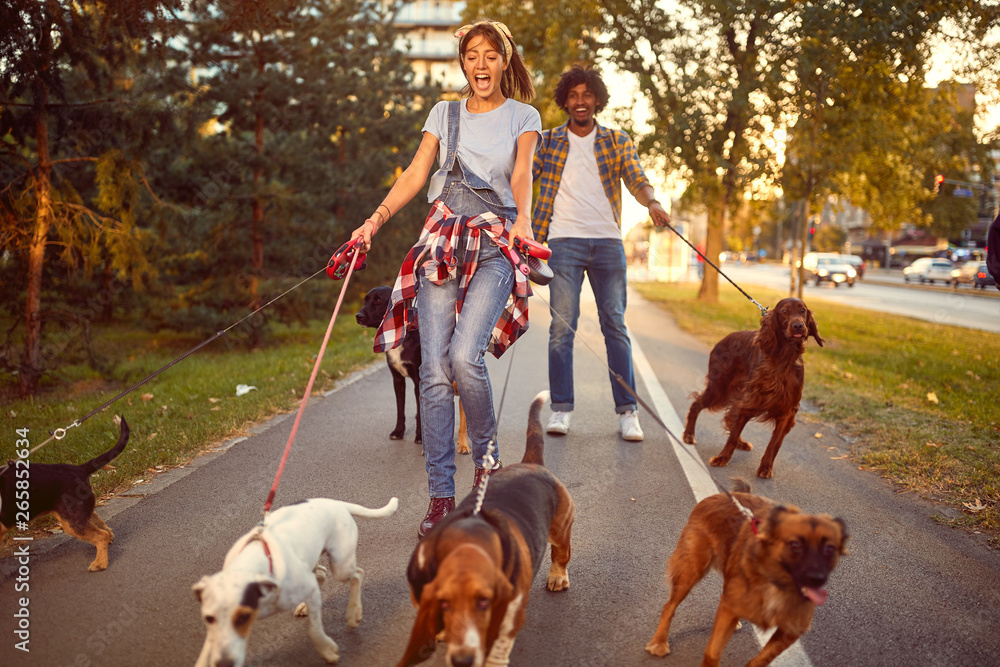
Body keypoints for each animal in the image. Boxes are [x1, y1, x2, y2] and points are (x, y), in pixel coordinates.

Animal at [360, 288, 468, 454]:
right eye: (365, 300)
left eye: (378, 300)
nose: (358, 316)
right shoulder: (397, 380)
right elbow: (401, 410)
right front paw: (398, 432)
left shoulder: (419, 381)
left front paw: (420, 437)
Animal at [644, 480, 848, 667]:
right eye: (795, 545)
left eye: (830, 549)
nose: (817, 579)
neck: (775, 583)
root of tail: (723, 496)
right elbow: (712, 652)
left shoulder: (792, 629)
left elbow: (761, 660)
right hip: (691, 570)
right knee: (669, 606)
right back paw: (659, 642)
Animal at [684, 298, 824, 480]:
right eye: (784, 311)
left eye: (802, 310)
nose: (798, 326)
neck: (783, 358)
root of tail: (724, 338)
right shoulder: (749, 401)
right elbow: (732, 435)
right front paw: (722, 458)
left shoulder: (787, 410)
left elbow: (774, 444)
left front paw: (766, 467)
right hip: (719, 388)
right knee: (697, 404)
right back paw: (689, 435)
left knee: (729, 416)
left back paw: (741, 443)